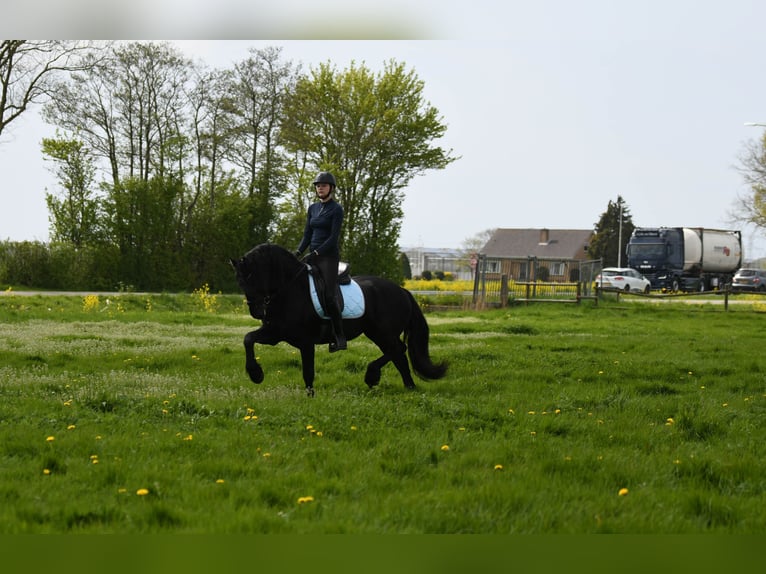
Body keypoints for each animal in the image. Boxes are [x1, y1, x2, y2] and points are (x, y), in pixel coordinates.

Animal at [229, 243, 447, 396]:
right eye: (239, 282)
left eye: (253, 277)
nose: (257, 312)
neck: (290, 289)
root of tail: (402, 291)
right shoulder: (275, 333)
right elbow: (248, 339)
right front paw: (256, 374)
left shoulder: (305, 341)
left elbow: (308, 371)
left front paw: (310, 398)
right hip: (378, 333)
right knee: (398, 355)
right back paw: (408, 387)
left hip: (383, 332)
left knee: (398, 350)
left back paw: (373, 376)